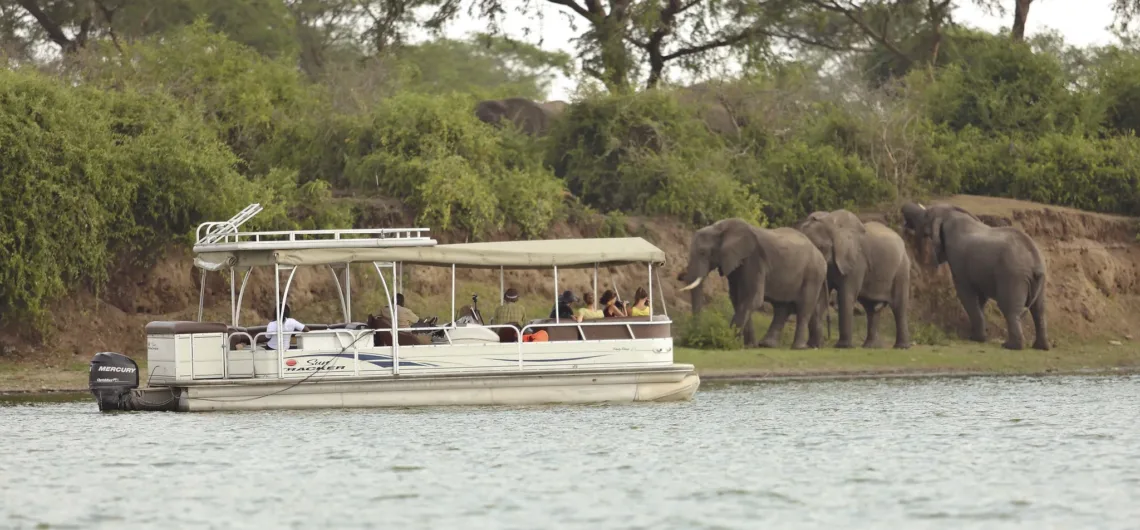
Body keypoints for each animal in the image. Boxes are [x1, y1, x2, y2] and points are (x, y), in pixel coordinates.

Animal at [674, 216, 829, 348]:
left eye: (702, 252)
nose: (680, 276)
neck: (720, 228)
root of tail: (820, 254)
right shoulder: (736, 263)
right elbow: (737, 299)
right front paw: (749, 345)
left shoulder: (755, 260)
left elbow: (753, 298)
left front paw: (729, 340)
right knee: (782, 309)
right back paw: (773, 345)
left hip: (813, 274)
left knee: (804, 308)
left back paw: (798, 347)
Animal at [798, 208, 912, 348]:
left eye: (821, 247)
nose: (826, 338)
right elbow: (820, 296)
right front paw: (813, 346)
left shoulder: (857, 261)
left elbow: (845, 295)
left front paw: (843, 346)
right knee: (871, 309)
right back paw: (870, 347)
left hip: (901, 268)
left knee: (898, 306)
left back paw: (902, 347)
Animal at [898, 202, 1048, 351]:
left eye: (926, 215)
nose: (903, 208)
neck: (949, 215)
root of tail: (1035, 260)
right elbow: (979, 298)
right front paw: (976, 335)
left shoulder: (958, 261)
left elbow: (965, 294)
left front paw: (976, 339)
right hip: (1037, 280)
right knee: (1039, 311)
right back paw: (1040, 347)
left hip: (1013, 275)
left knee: (1010, 309)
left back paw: (1010, 346)